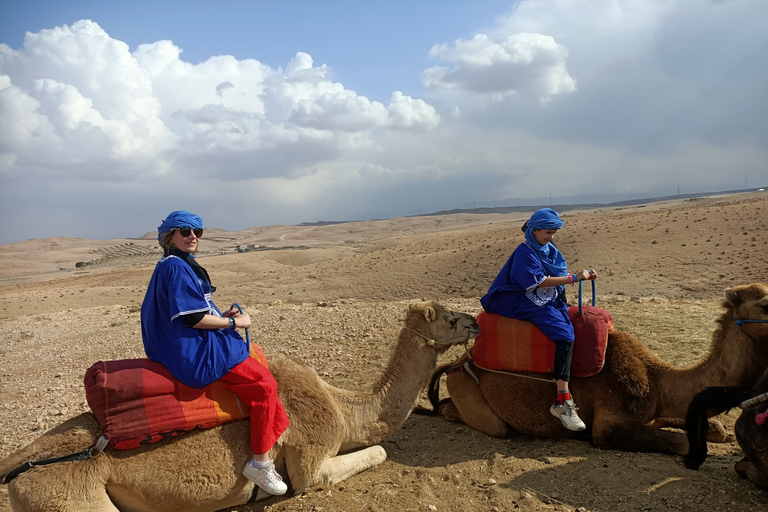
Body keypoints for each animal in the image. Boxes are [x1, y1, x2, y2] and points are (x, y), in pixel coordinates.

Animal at [1, 302, 480, 510]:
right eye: (448, 318)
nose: (476, 321)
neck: (344, 409)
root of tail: (14, 469)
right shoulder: (309, 460)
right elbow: (376, 452)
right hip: (71, 500)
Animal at [420, 284, 768, 456]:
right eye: (764, 303)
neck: (658, 381)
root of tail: (458, 363)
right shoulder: (608, 424)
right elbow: (685, 443)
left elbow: (715, 428)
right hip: (475, 398)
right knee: (473, 418)